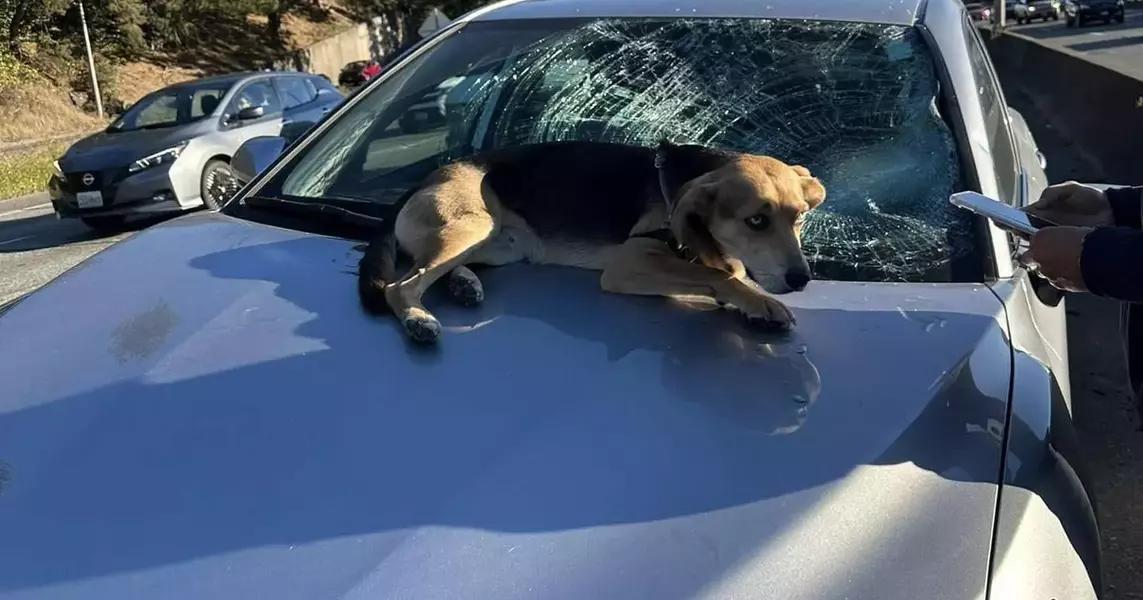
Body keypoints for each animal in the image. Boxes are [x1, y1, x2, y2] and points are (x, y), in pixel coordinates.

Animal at [356, 138, 822, 342]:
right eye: (756, 220)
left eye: (800, 217)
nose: (802, 279)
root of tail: (424, 179)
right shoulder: (630, 262)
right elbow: (717, 276)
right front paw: (760, 302)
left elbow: (723, 271)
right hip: (472, 225)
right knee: (401, 285)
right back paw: (417, 317)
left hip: (503, 244)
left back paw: (463, 283)